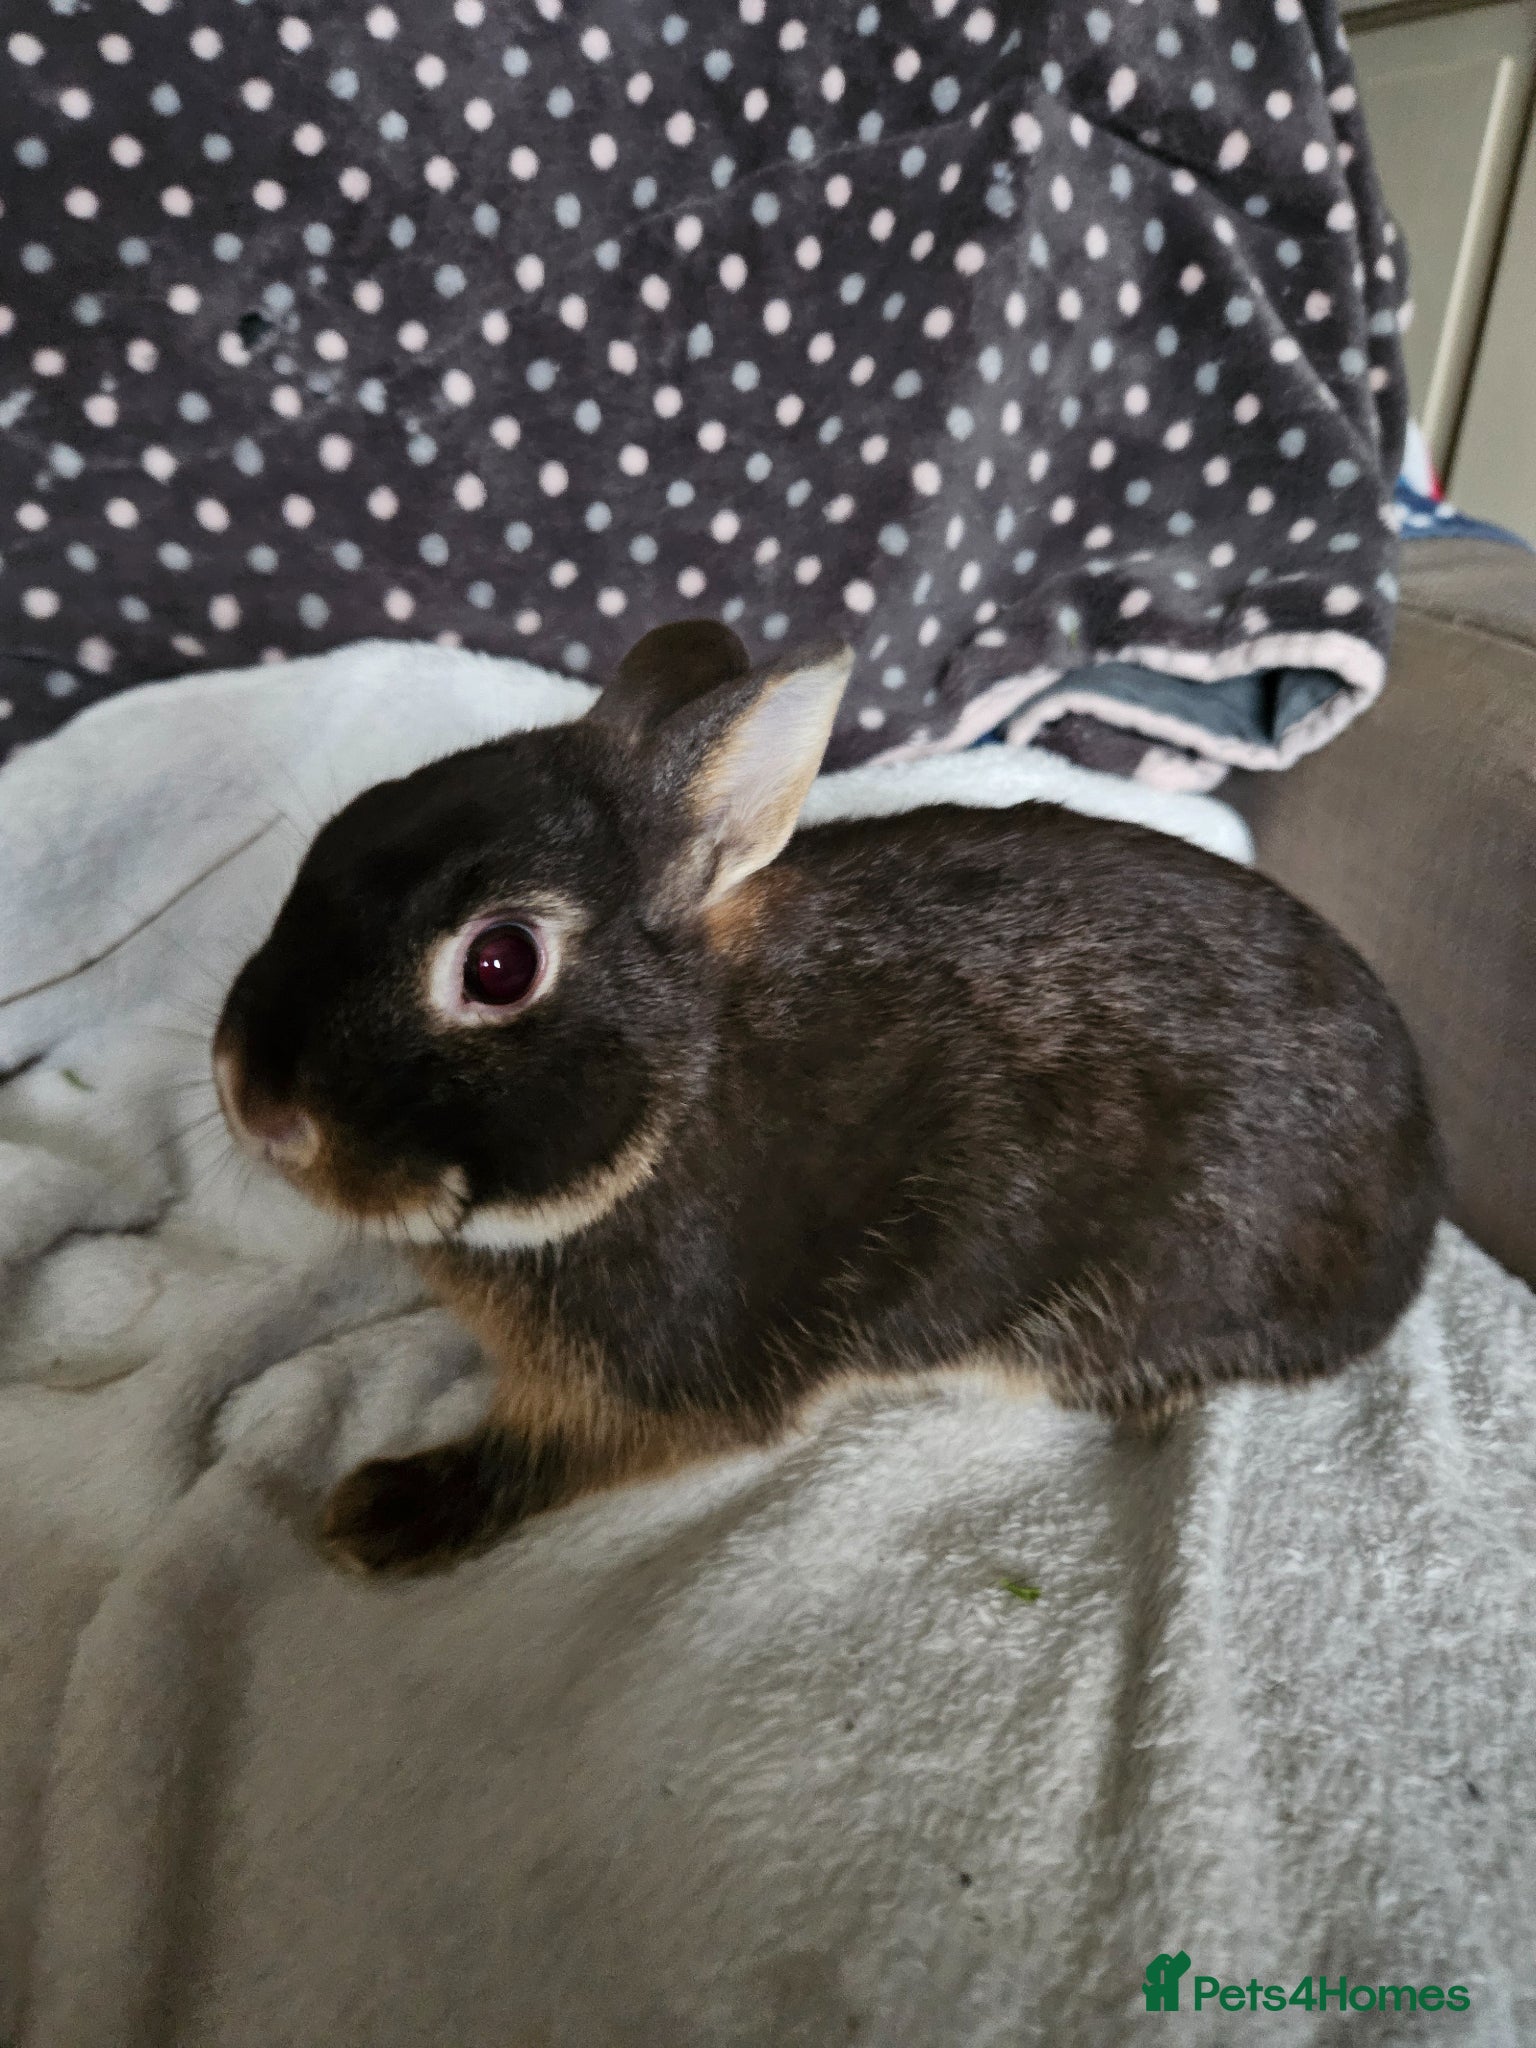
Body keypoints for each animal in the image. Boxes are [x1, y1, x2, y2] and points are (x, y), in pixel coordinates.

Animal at [213, 619, 1443, 1574]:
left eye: (501, 964)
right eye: (343, 832)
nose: (253, 1100)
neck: (676, 1099)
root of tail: (1418, 1206)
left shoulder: (658, 1381)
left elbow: (543, 1453)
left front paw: (378, 1516)